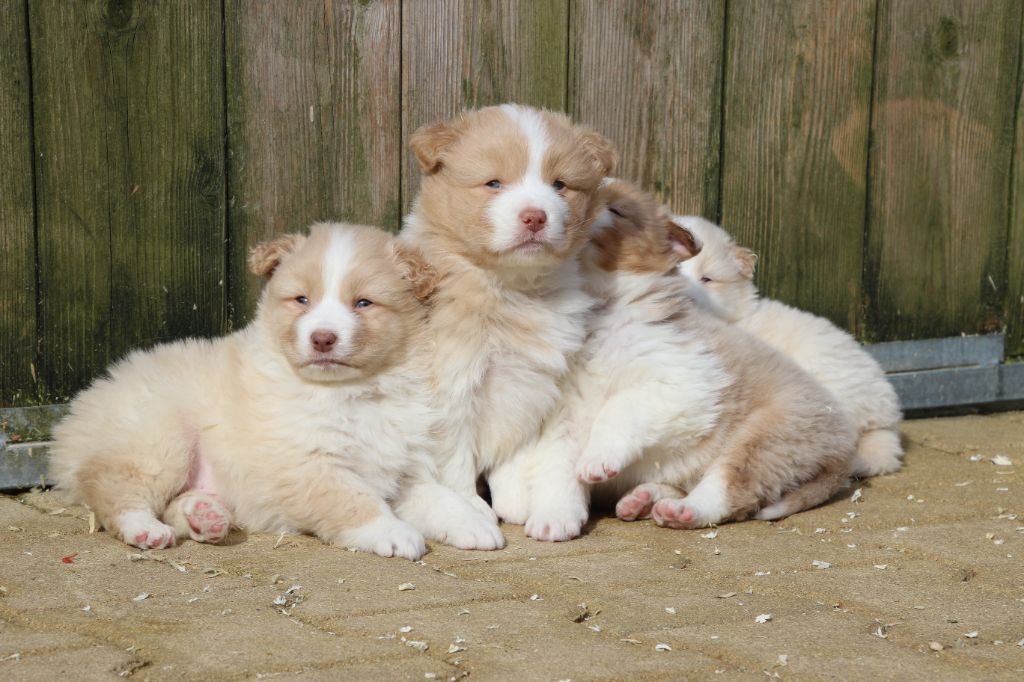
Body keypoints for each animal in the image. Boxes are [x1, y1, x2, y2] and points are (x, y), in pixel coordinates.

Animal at [49, 223, 505, 557]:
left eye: (363, 303)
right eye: (301, 300)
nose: (323, 338)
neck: (356, 392)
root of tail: (77, 416)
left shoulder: (401, 469)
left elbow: (439, 496)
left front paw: (474, 522)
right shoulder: (306, 464)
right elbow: (353, 499)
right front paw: (392, 533)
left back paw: (205, 517)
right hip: (160, 438)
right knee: (110, 483)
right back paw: (144, 529)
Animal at [401, 102, 614, 520]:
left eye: (559, 185)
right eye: (494, 184)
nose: (535, 217)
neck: (512, 289)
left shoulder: (533, 385)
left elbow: (517, 448)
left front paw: (516, 498)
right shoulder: (452, 387)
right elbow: (455, 458)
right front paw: (471, 507)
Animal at [520, 178, 856, 540]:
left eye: (616, 209)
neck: (601, 311)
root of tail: (844, 450)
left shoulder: (685, 383)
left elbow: (620, 407)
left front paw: (596, 459)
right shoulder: (562, 410)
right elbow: (557, 465)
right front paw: (554, 517)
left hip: (765, 438)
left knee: (728, 492)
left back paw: (683, 511)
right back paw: (642, 500)